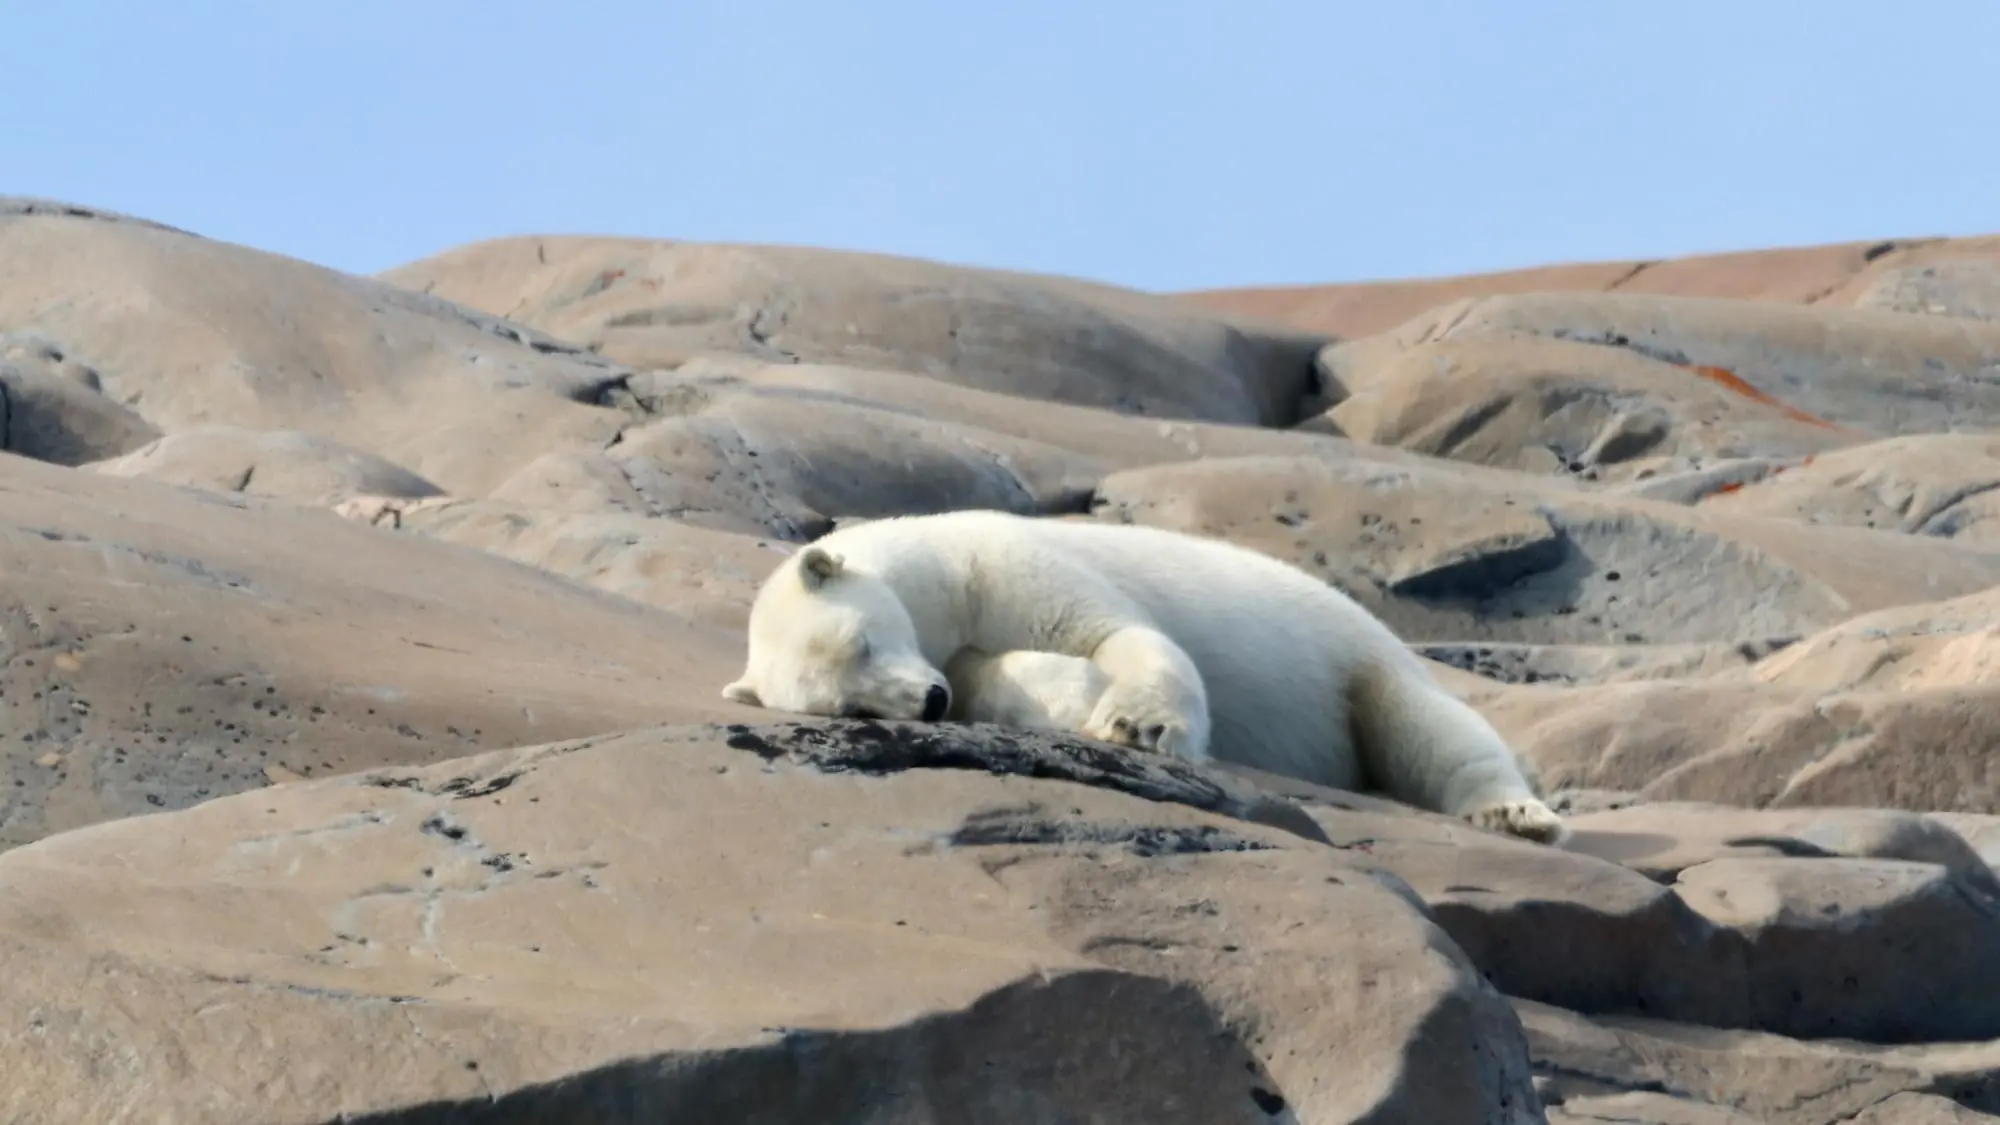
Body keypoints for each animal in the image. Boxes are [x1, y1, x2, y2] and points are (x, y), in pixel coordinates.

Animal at [728, 508, 1568, 840]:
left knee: (1428, 725)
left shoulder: (1010, 565)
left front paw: (1135, 721)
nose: (928, 702)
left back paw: (1514, 813)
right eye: (852, 707)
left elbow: (1117, 633)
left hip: (1355, 655)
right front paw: (1074, 701)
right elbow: (1004, 677)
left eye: (865, 641)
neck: (947, 563)